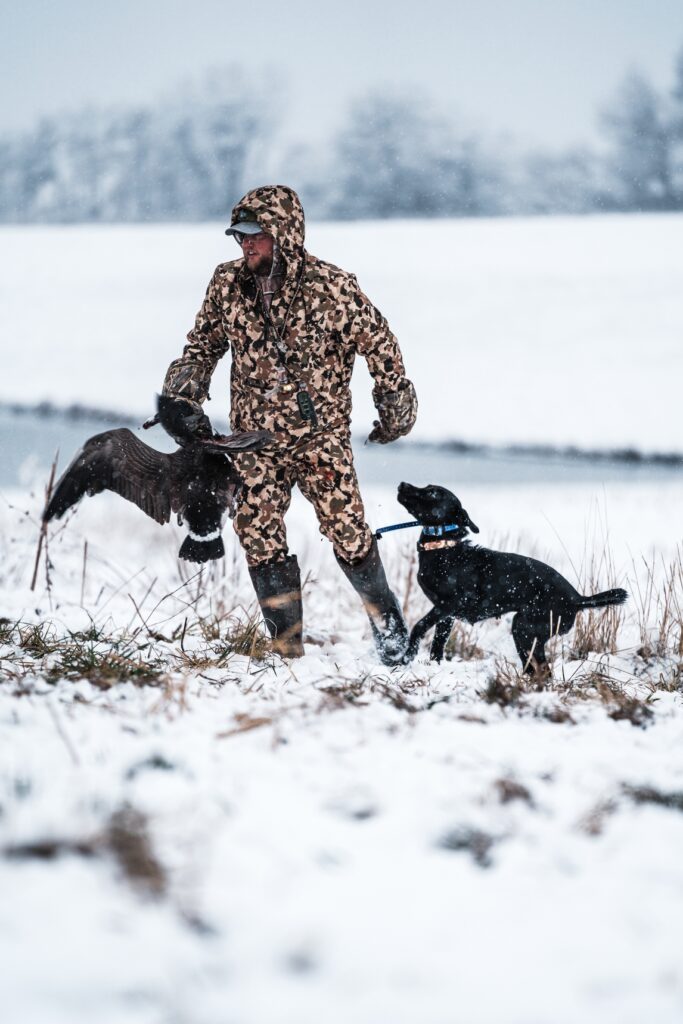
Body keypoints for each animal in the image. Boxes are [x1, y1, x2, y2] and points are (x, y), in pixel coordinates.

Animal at [397, 481, 626, 671]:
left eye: (433, 492)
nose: (402, 484)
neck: (443, 547)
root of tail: (577, 598)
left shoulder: (449, 604)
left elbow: (418, 626)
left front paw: (406, 657)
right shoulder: (446, 616)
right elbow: (437, 645)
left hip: (525, 628)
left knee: (543, 671)